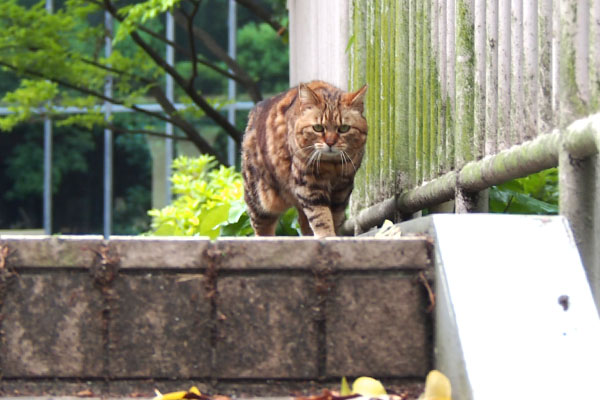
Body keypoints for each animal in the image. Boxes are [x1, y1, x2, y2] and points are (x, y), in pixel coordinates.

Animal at [241, 81, 368, 238]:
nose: (330, 143)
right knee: (261, 227)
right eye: (318, 128)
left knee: (303, 221)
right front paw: (327, 235)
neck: (332, 165)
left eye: (344, 128)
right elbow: (320, 216)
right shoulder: (309, 184)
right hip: (260, 199)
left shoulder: (342, 188)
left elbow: (334, 217)